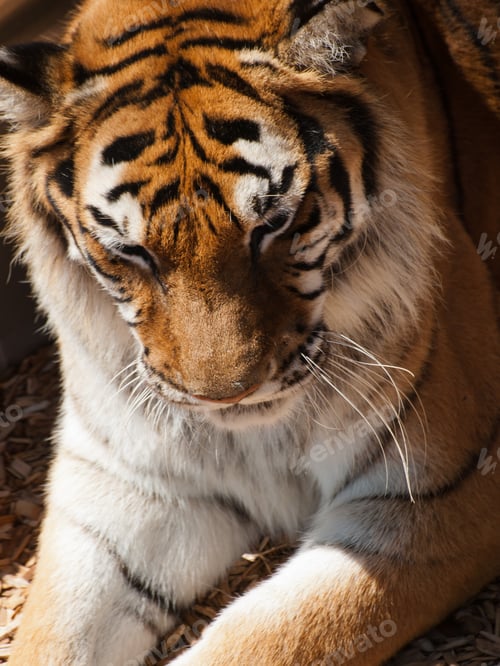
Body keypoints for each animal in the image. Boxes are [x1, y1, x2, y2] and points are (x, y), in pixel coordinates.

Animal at [1, 0, 499, 664]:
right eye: (131, 252)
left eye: (275, 224)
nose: (226, 395)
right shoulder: (125, 490)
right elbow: (52, 640)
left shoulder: (440, 490)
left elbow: (268, 637)